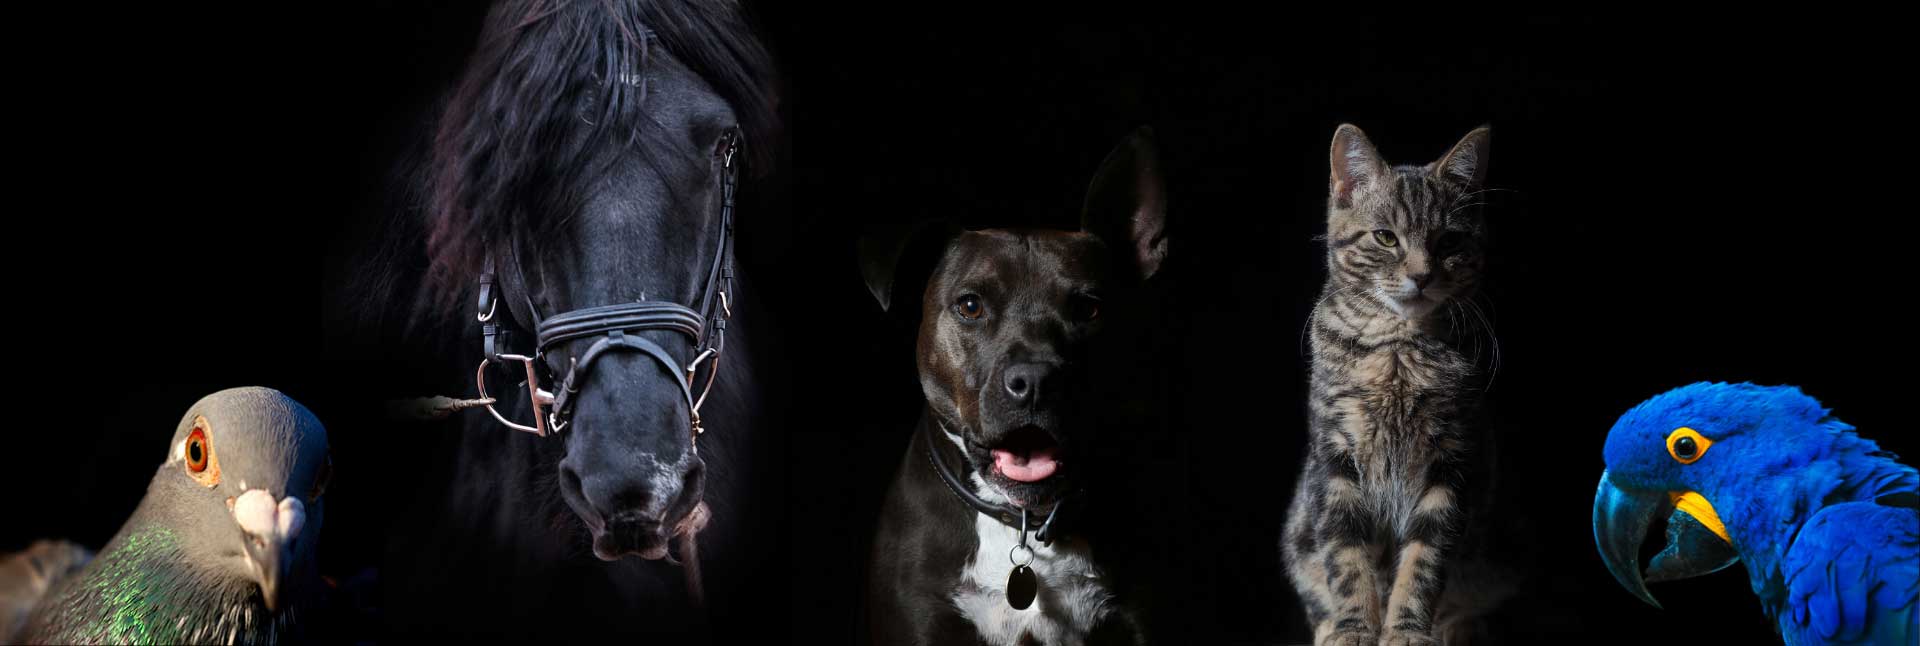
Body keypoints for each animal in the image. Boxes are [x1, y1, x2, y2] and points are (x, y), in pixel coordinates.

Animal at [1282, 124, 1505, 642]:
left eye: (1449, 241)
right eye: (1386, 238)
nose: (1421, 276)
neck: (1397, 352)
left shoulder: (1451, 463)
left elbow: (1424, 562)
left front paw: (1405, 628)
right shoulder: (1335, 458)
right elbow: (1345, 558)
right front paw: (1354, 627)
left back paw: (1457, 627)